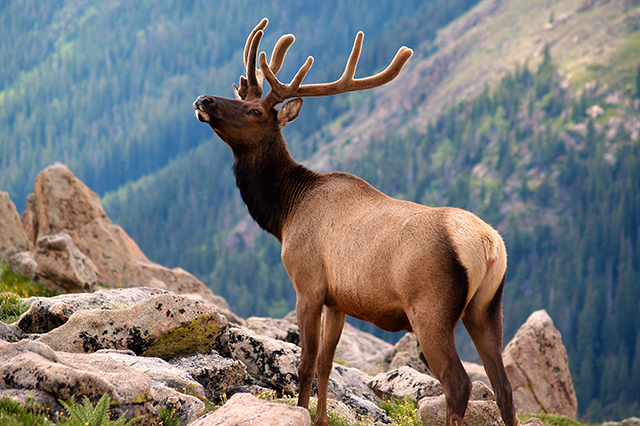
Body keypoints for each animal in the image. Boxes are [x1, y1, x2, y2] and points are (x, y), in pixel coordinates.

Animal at [192, 19, 516, 426]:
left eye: (254, 111)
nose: (204, 100)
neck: (285, 214)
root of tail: (488, 243)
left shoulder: (308, 284)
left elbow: (306, 363)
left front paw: (301, 412)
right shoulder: (339, 300)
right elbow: (327, 363)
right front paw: (320, 419)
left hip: (431, 308)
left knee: (458, 383)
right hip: (488, 306)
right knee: (504, 386)